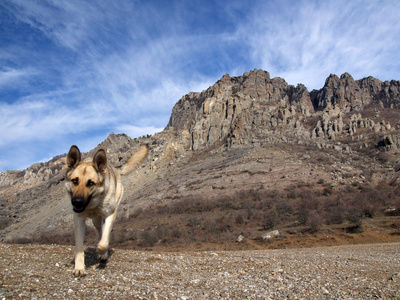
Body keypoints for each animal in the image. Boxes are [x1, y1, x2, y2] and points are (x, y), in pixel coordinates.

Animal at [65, 144, 148, 276]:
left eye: (91, 183)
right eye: (74, 181)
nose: (77, 201)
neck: (94, 204)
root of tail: (116, 169)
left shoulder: (110, 215)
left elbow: (104, 241)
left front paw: (101, 251)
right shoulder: (79, 220)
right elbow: (79, 247)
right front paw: (79, 267)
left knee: (104, 234)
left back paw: (103, 254)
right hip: (96, 221)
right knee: (100, 232)